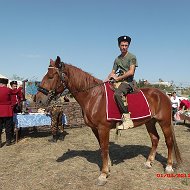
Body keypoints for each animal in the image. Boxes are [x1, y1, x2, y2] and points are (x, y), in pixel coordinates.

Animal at [35, 56, 182, 186]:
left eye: (51, 76)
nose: (39, 99)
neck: (93, 96)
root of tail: (163, 94)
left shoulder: (103, 128)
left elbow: (105, 148)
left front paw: (103, 174)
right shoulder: (95, 129)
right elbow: (102, 147)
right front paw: (108, 165)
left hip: (164, 122)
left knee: (168, 142)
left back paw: (169, 166)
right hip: (149, 122)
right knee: (155, 139)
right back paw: (148, 162)